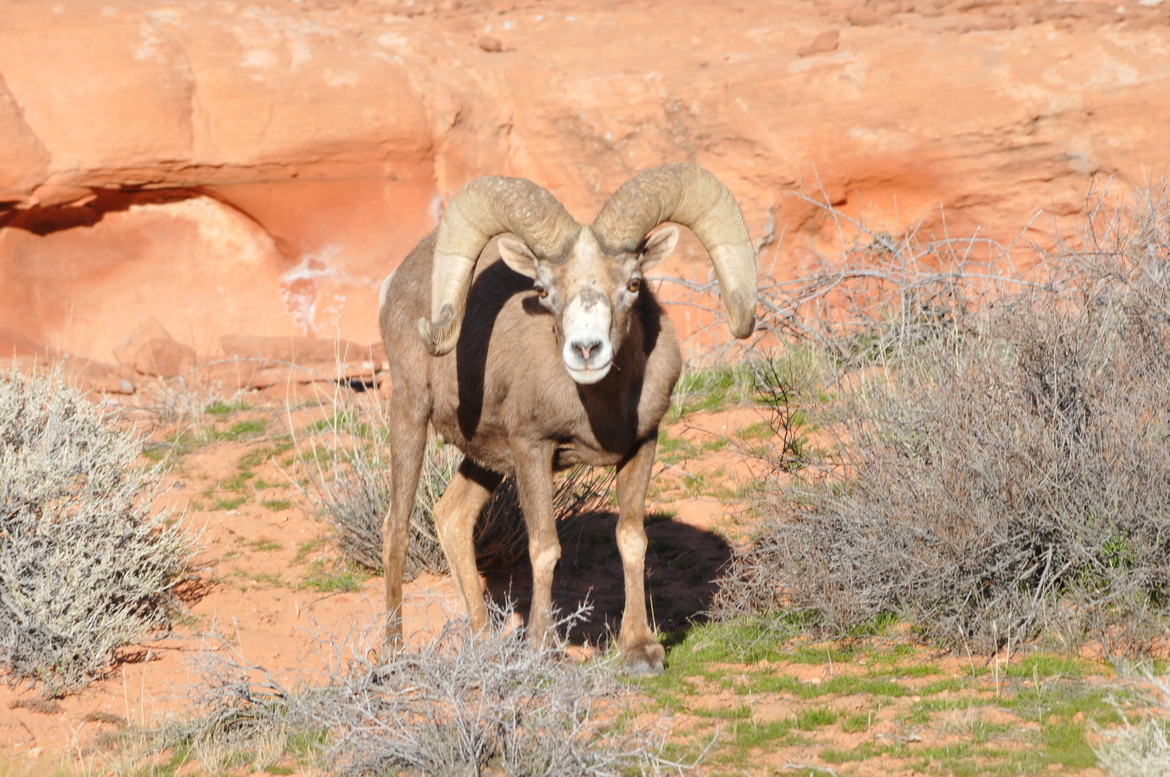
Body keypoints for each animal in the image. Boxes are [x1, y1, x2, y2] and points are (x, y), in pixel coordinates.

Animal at [378, 164, 757, 675]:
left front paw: (640, 650)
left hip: (485, 462)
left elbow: (631, 539)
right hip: (410, 414)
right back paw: (392, 656)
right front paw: (542, 649)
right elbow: (544, 548)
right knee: (396, 528)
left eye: (633, 283)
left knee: (452, 517)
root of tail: (396, 282)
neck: (599, 408)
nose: (586, 350)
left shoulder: (643, 445)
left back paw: (484, 646)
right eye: (543, 290)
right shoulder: (531, 449)